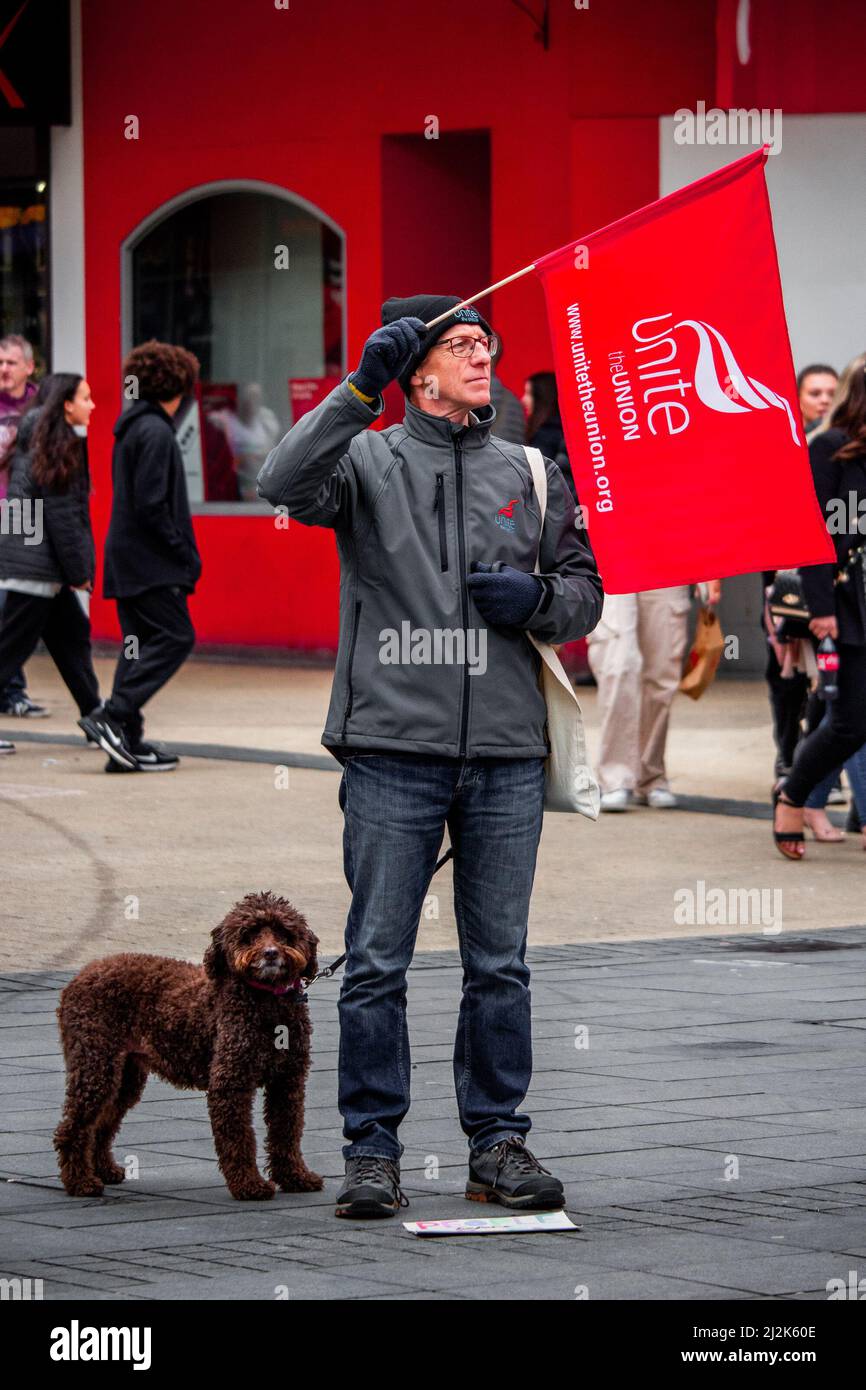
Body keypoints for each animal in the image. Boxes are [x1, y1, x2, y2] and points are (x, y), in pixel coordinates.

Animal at [54, 895, 325, 1200]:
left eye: (283, 932)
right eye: (249, 934)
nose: (270, 953)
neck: (267, 1000)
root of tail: (79, 976)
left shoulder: (287, 1082)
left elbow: (287, 1134)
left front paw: (295, 1177)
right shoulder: (230, 1083)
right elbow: (238, 1139)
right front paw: (249, 1185)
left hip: (125, 1075)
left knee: (103, 1122)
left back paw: (103, 1170)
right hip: (94, 1063)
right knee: (74, 1127)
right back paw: (80, 1181)